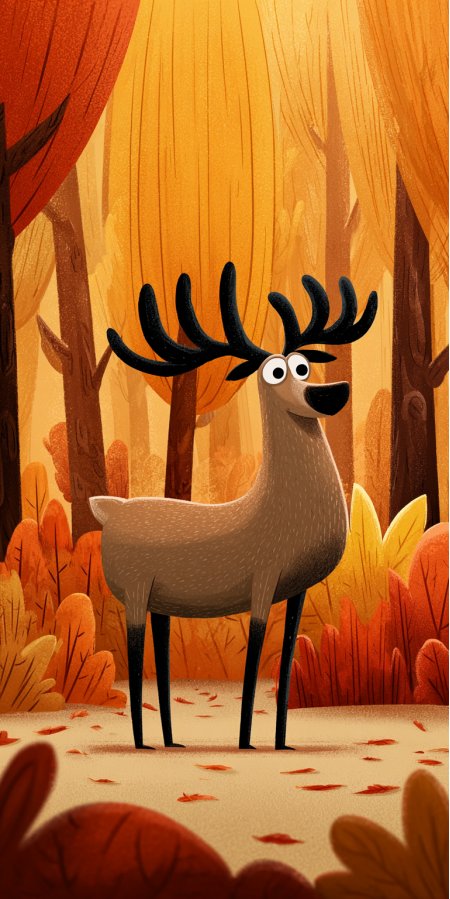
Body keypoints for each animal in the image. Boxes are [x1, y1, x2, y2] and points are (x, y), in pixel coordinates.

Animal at [90, 263, 377, 751]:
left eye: (303, 365)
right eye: (276, 372)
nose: (332, 394)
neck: (277, 507)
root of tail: (109, 509)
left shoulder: (297, 590)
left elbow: (285, 660)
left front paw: (282, 742)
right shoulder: (262, 582)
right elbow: (254, 659)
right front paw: (245, 741)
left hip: (160, 600)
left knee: (161, 654)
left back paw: (172, 741)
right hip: (134, 591)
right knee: (136, 655)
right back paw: (143, 742)